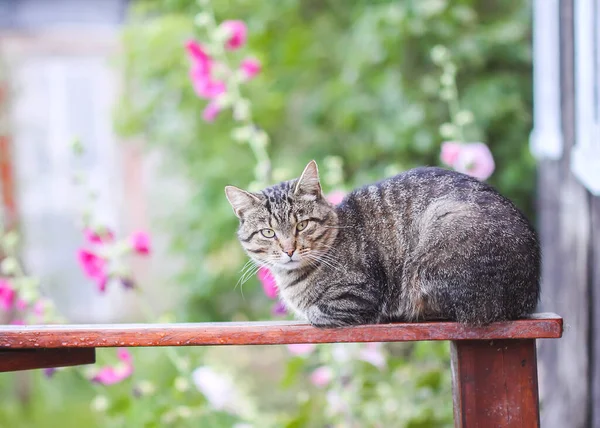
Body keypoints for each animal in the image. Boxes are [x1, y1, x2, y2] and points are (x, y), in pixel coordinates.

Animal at [224, 160, 540, 328]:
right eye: (268, 232)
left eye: (302, 225)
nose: (289, 249)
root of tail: (528, 292)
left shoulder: (357, 297)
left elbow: (316, 312)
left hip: (440, 234)